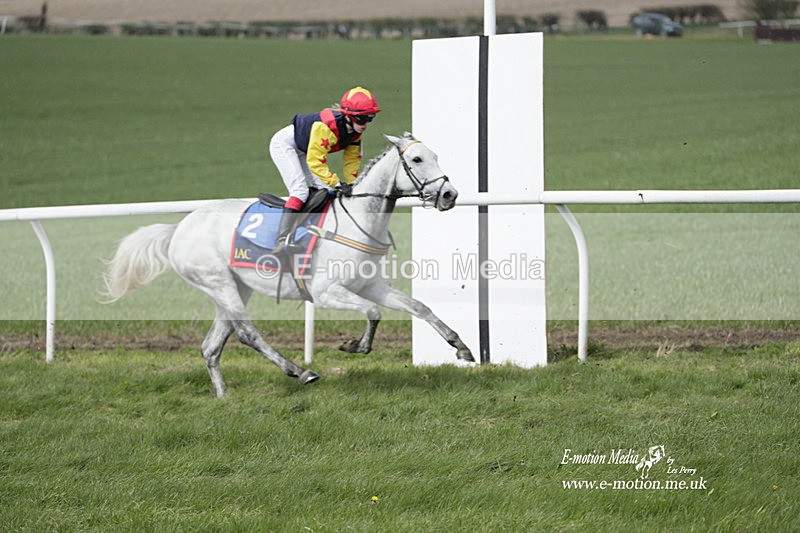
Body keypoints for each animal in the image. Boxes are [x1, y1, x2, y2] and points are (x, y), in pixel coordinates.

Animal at [103, 133, 475, 397]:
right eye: (416, 158)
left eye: (436, 155)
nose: (449, 195)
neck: (357, 222)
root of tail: (178, 228)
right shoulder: (326, 293)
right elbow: (373, 312)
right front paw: (355, 345)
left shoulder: (371, 285)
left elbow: (419, 307)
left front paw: (461, 347)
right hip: (218, 281)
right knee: (247, 333)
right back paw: (300, 371)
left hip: (232, 287)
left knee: (212, 346)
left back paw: (224, 397)